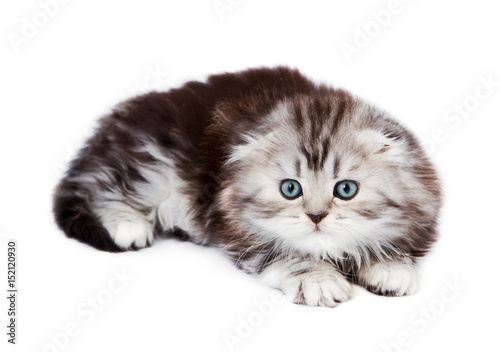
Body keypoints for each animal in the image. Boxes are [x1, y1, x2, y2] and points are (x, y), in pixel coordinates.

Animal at [52, 67, 440, 306]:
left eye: (346, 190)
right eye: (290, 189)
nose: (316, 217)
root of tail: (109, 127)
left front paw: (391, 266)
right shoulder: (235, 226)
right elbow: (287, 254)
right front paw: (318, 278)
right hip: (152, 166)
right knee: (100, 188)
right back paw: (128, 225)